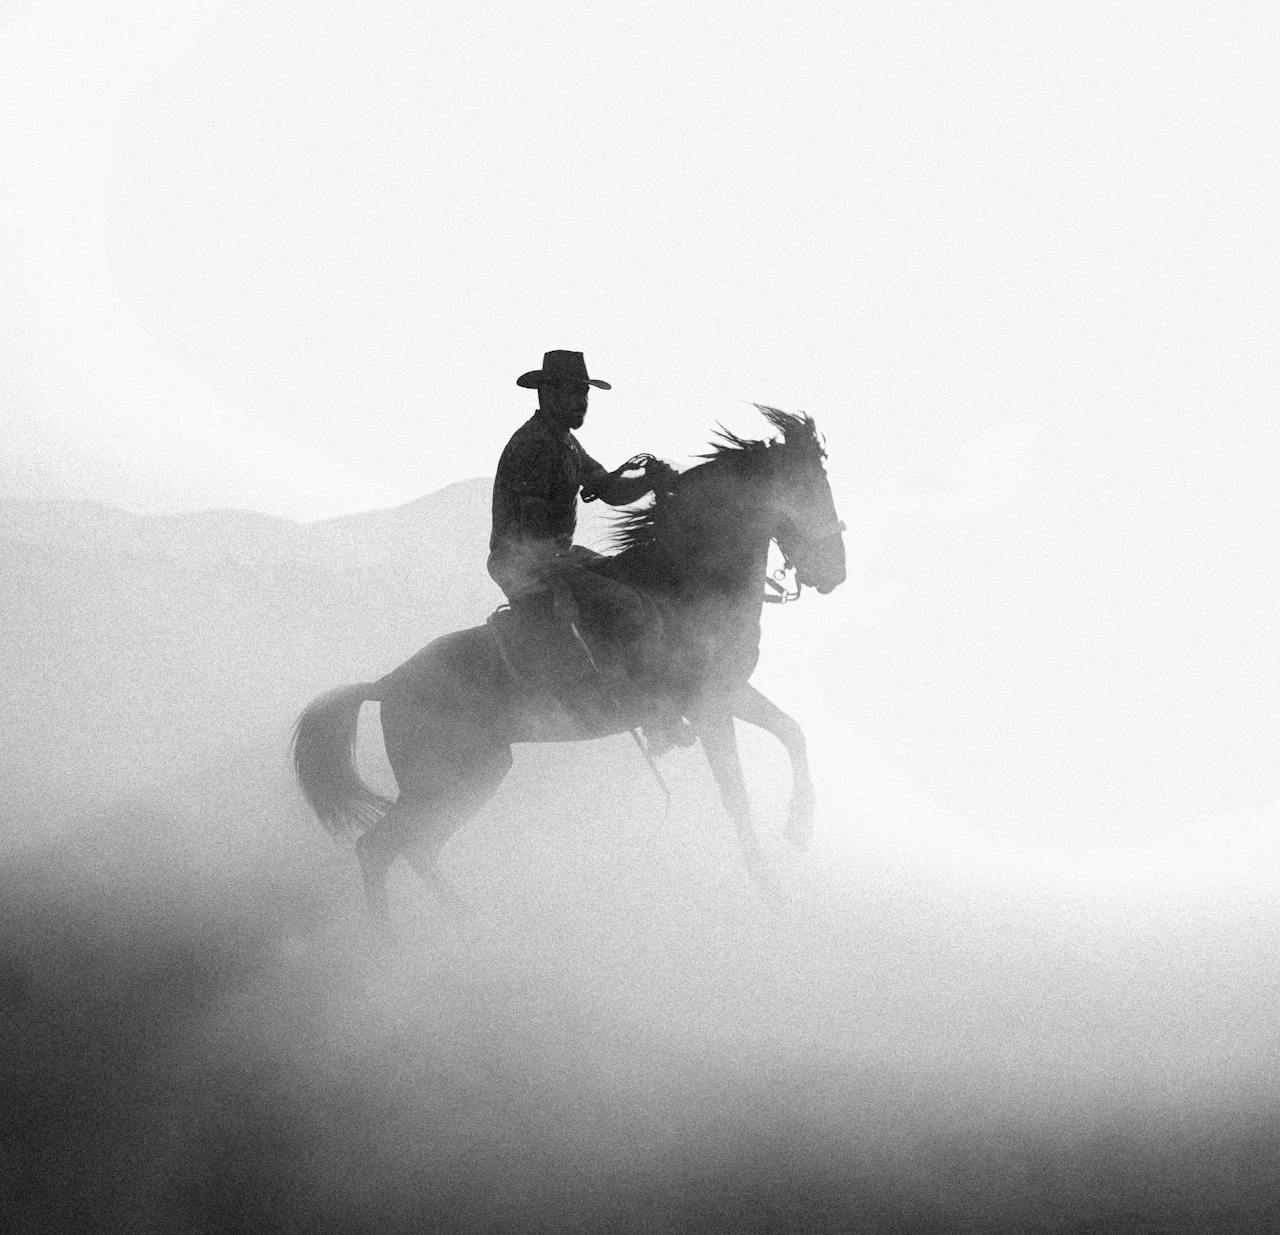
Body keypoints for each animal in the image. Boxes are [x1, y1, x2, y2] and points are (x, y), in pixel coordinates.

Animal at [293, 409, 844, 921]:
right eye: (805, 489)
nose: (835, 570)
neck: (682, 579)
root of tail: (386, 684)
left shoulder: (731, 693)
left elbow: (792, 732)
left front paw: (799, 826)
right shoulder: (708, 709)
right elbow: (738, 798)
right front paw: (772, 895)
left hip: (471, 778)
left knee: (413, 849)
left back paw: (467, 931)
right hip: (449, 779)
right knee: (380, 848)